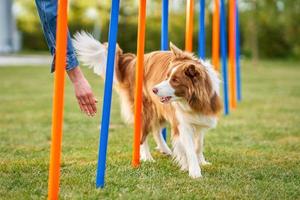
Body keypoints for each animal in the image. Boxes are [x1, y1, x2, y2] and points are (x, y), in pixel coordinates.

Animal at [73, 31, 221, 178]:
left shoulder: (201, 119)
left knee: (156, 130)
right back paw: (147, 157)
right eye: (166, 76)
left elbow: (199, 144)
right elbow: (189, 148)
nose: (154, 90)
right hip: (145, 108)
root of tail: (133, 61)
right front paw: (194, 171)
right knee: (142, 134)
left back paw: (165, 149)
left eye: (175, 80)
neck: (193, 101)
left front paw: (202, 162)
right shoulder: (181, 123)